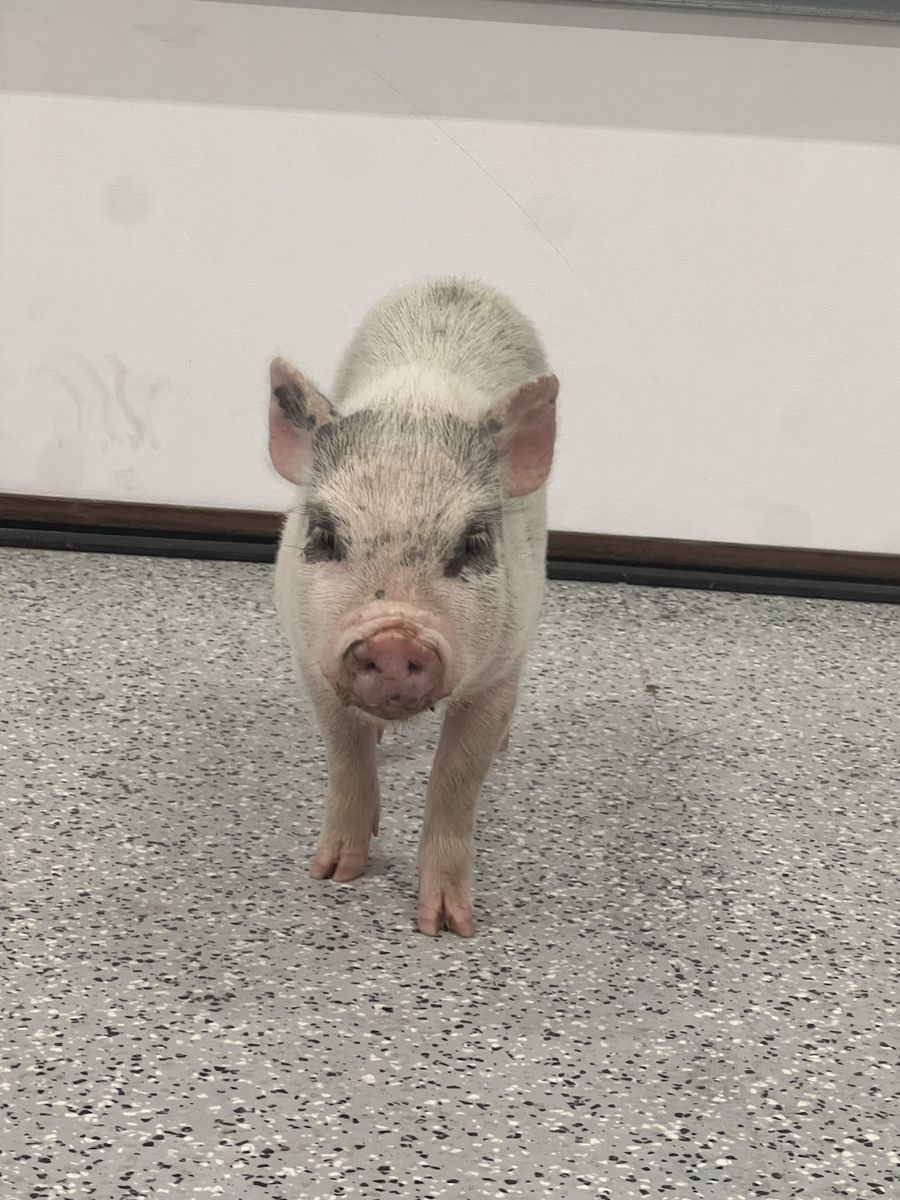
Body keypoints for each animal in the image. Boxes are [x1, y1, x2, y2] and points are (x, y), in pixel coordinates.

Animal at [269, 278, 558, 936]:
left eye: (473, 544)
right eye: (323, 535)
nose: (394, 639)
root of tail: (457, 279)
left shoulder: (500, 670)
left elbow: (456, 780)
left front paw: (448, 927)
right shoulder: (309, 656)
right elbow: (345, 757)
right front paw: (332, 875)